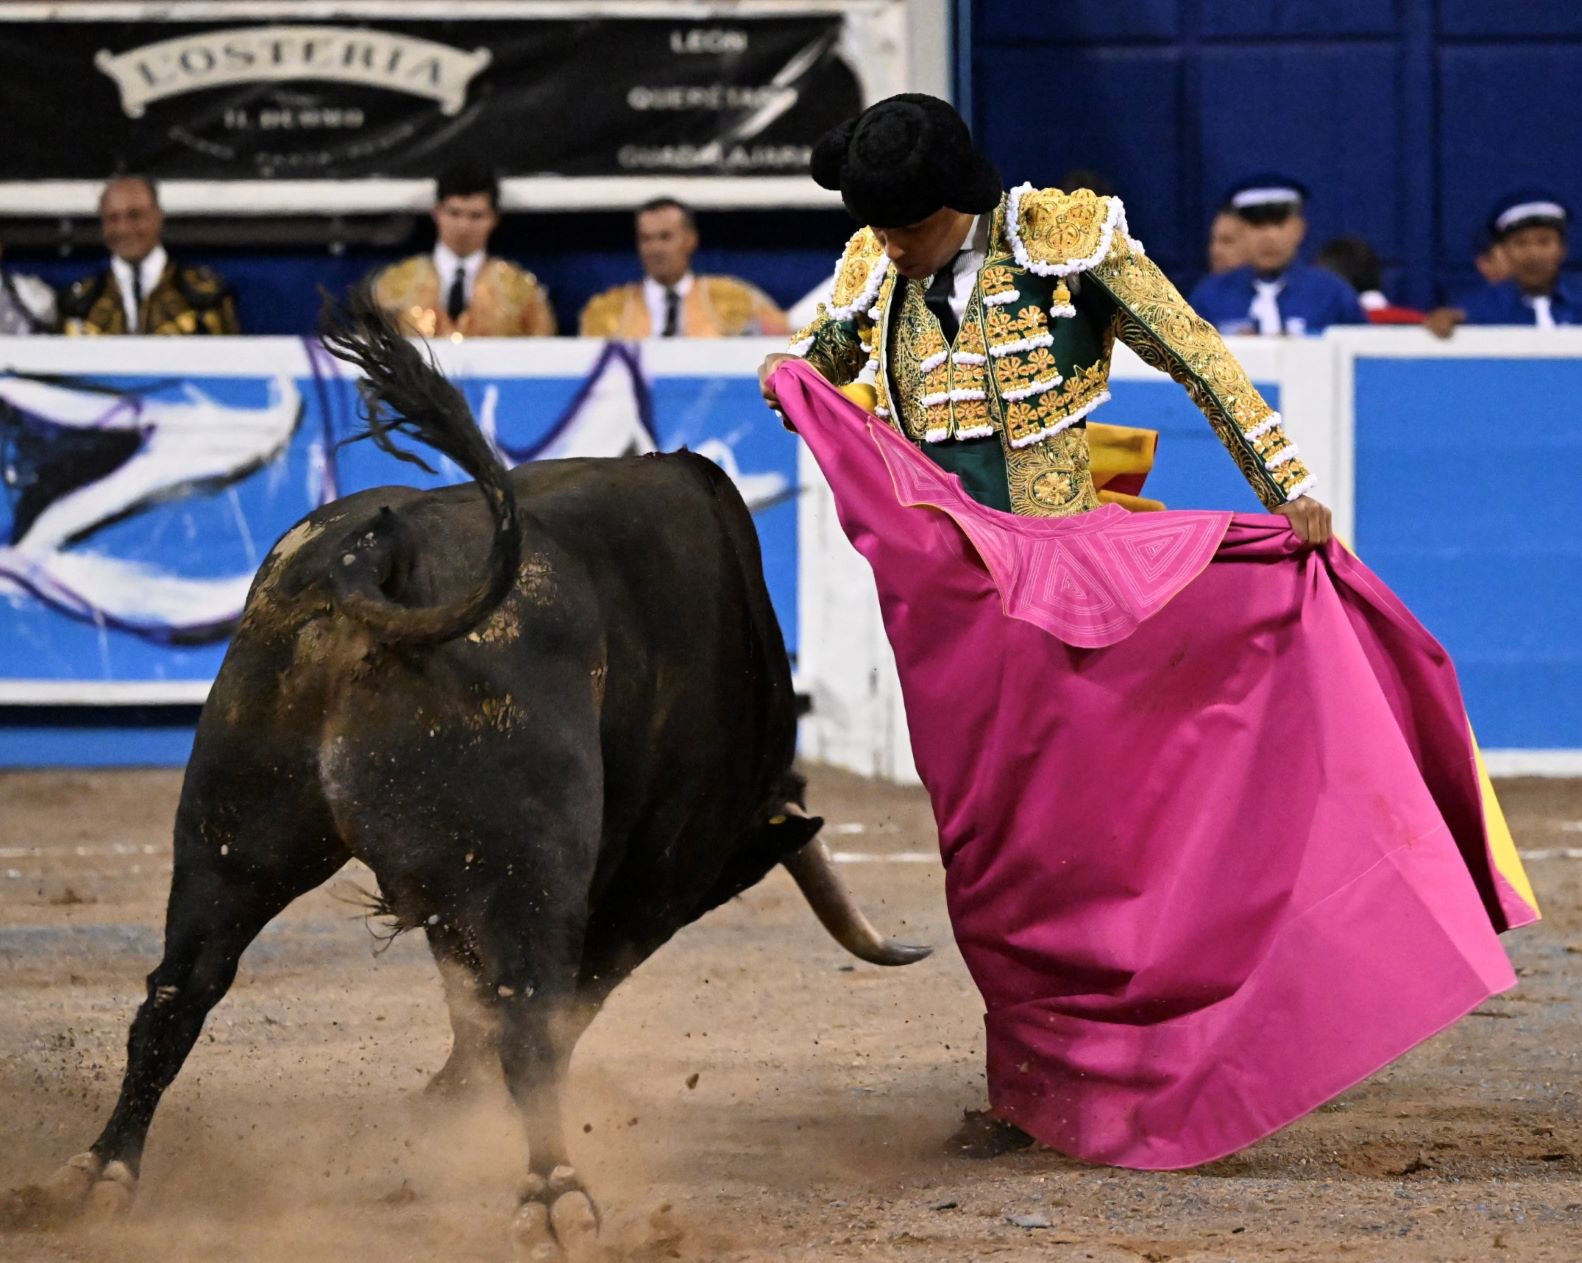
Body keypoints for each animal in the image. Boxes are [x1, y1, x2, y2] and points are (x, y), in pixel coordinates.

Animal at [6, 292, 928, 1260]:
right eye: (721, 879)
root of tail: (385, 552)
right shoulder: (642, 875)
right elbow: (549, 999)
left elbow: (463, 989)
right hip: (528, 858)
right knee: (527, 1013)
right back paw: (556, 1193)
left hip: (233, 831)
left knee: (180, 988)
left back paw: (99, 1173)